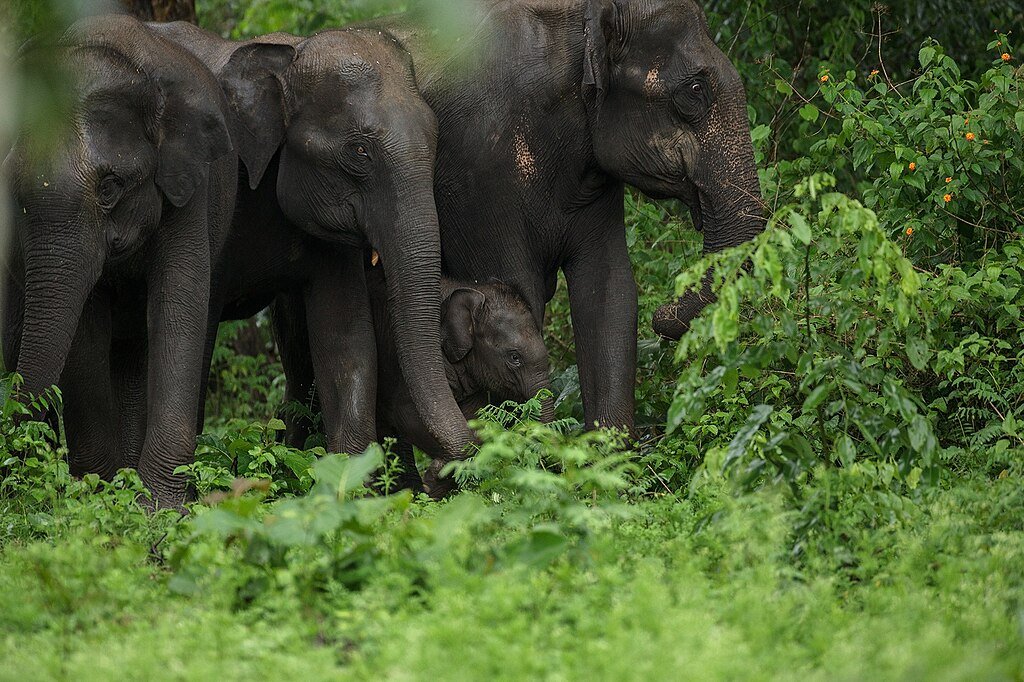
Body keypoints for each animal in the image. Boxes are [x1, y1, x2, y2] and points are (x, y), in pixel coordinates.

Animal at [2, 15, 237, 508]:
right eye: (14, 193)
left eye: (110, 187)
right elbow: (85, 327)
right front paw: (99, 495)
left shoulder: (189, 184)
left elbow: (179, 306)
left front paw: (156, 510)